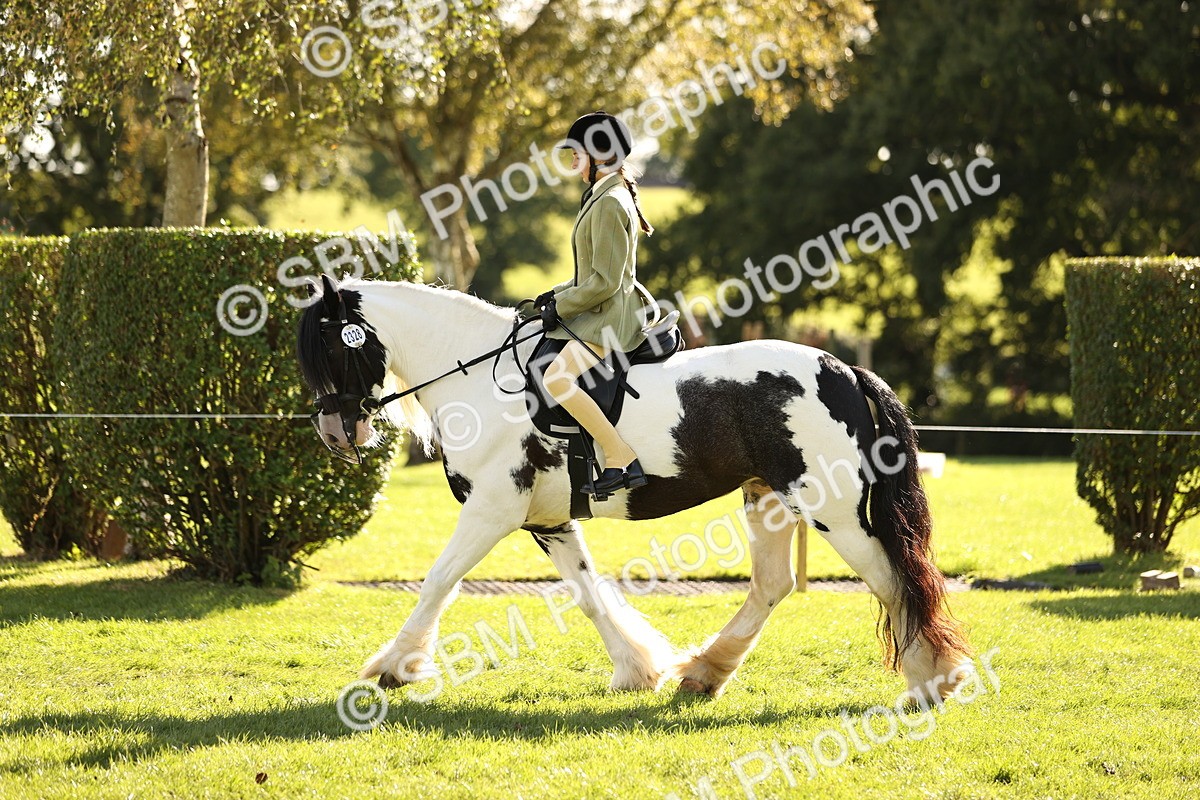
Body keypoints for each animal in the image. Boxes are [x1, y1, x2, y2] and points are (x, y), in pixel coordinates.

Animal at [297, 274, 974, 702]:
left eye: (331, 345)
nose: (333, 431)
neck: (478, 378)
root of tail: (842, 368)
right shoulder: (548, 521)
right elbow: (589, 594)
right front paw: (637, 669)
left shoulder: (493, 511)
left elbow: (439, 579)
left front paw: (394, 667)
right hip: (769, 498)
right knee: (773, 585)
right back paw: (704, 673)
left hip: (830, 507)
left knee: (892, 579)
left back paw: (933, 681)